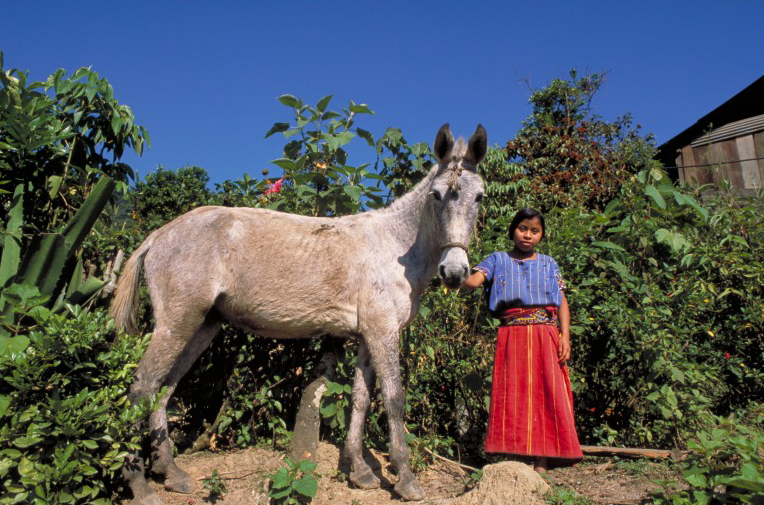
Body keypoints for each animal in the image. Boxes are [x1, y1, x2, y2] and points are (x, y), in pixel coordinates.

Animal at [110, 123, 486, 504]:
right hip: (177, 323)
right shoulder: (383, 332)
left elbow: (360, 401)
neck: (395, 247)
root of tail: (158, 235)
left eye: (479, 197)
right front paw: (406, 480)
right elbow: (393, 399)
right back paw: (140, 485)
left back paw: (171, 474)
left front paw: (360, 473)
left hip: (202, 326)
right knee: (141, 388)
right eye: (436, 195)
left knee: (163, 389)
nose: (455, 272)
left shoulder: (368, 337)